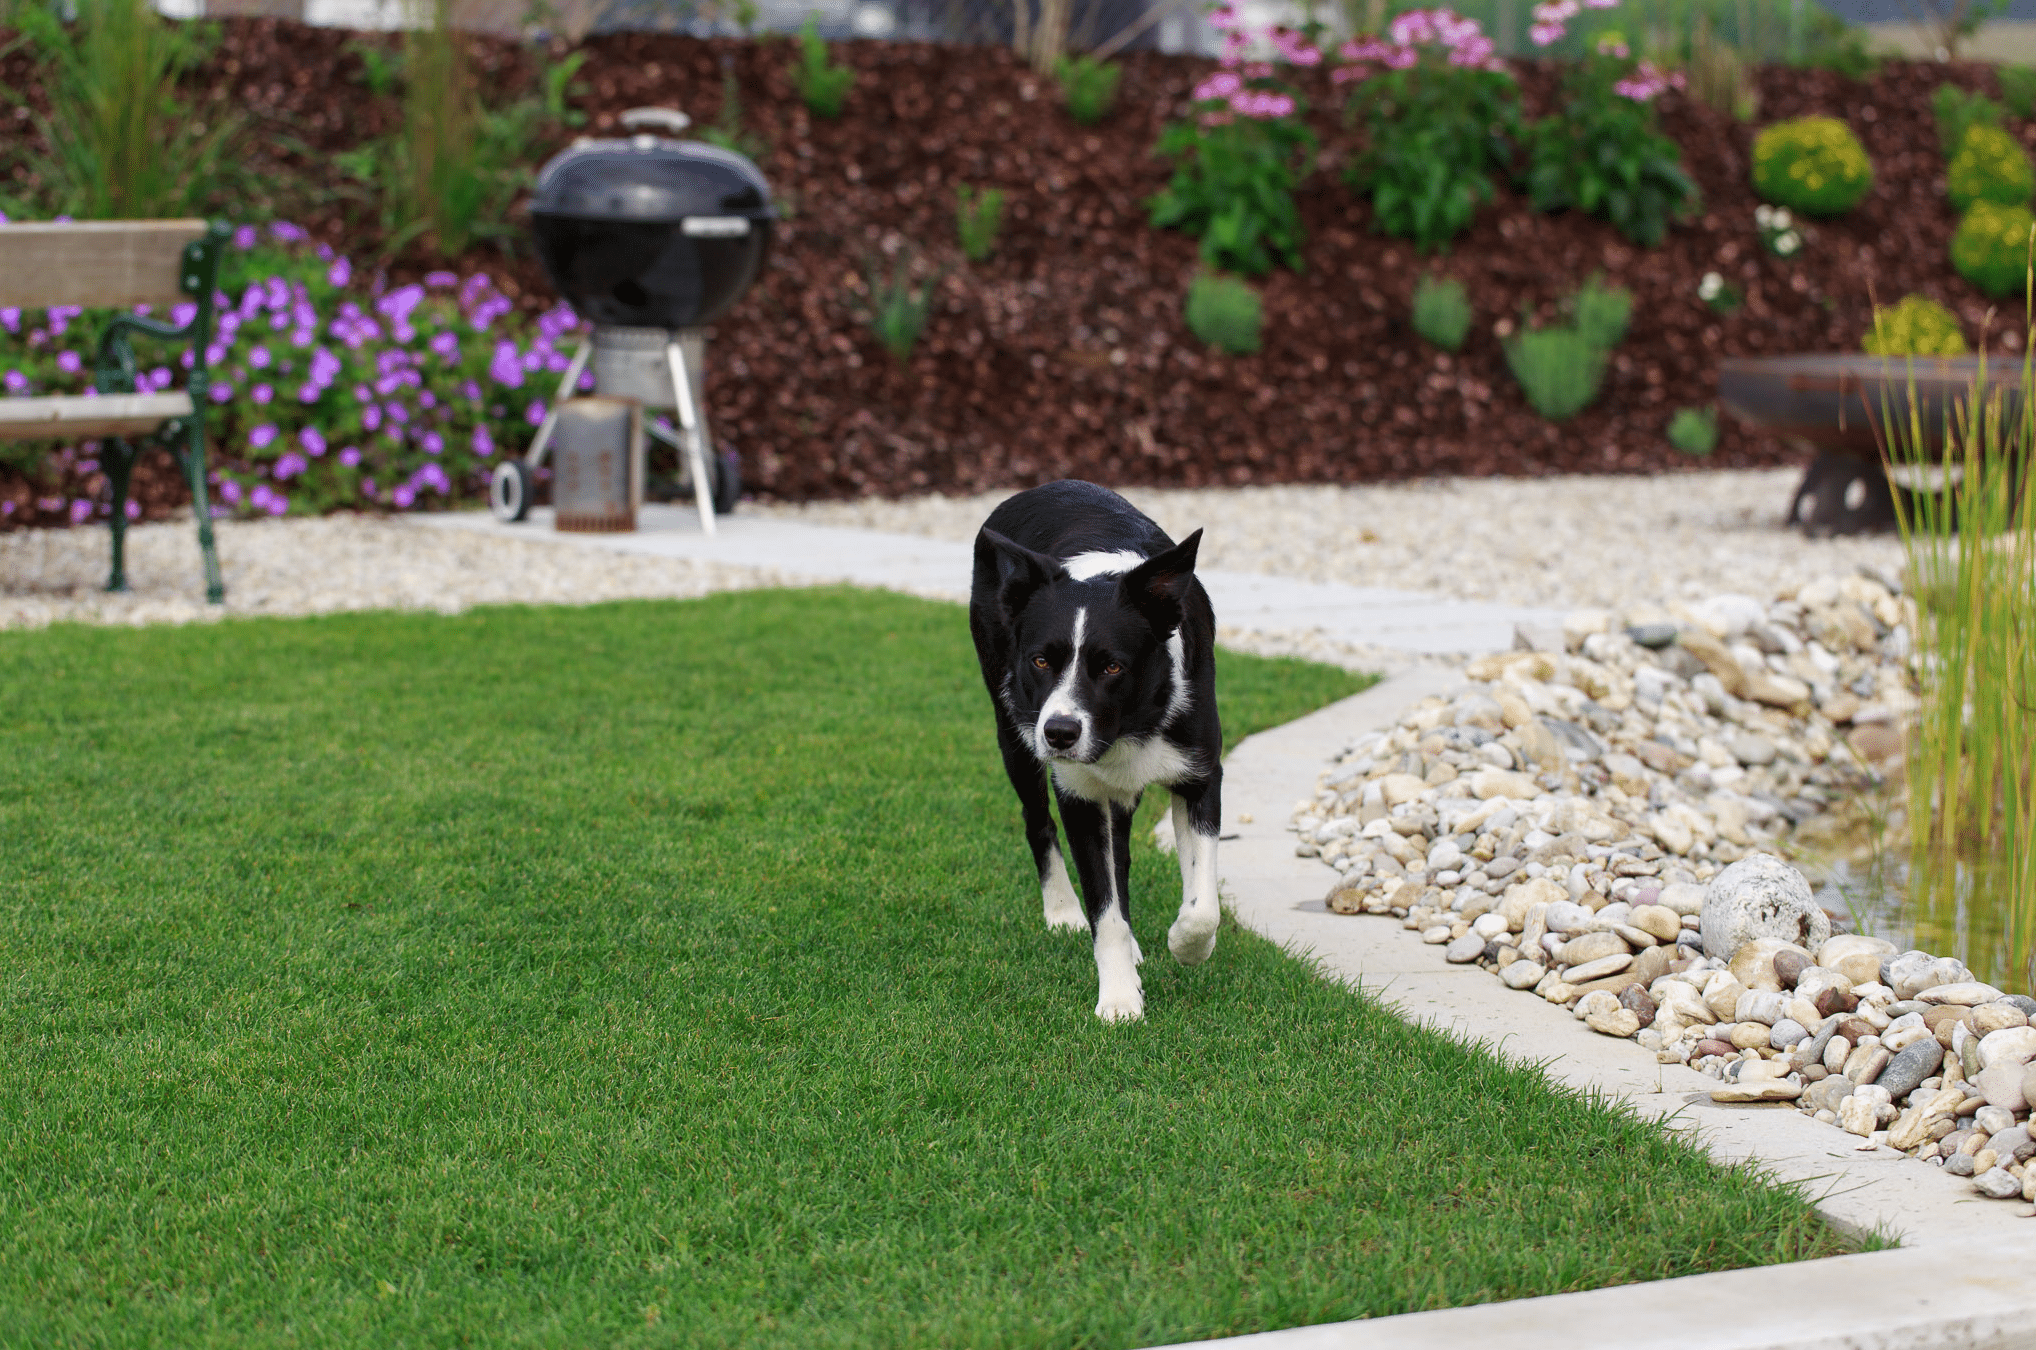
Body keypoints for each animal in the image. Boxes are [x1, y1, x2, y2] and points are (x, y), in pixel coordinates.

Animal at [969, 480, 1221, 1018]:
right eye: (1041, 660)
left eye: (1112, 667)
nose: (1060, 733)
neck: (1131, 722)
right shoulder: (1080, 794)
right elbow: (1104, 910)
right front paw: (1121, 999)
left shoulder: (1199, 775)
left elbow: (1202, 905)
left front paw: (1188, 946)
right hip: (1013, 729)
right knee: (1037, 821)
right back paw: (1064, 910)